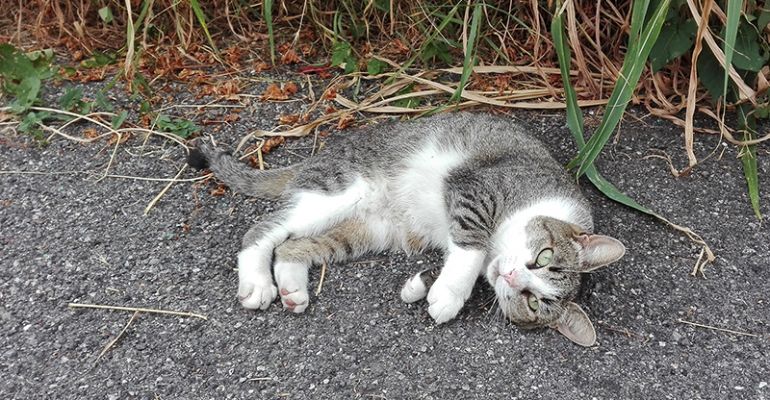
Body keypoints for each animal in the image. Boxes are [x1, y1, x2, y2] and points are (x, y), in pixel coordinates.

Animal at [188, 111, 624, 346]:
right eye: (543, 257)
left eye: (533, 302)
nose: (513, 276)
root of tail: (322, 154)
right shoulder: (474, 190)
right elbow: (472, 246)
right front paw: (450, 293)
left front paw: (426, 287)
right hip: (338, 191)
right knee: (263, 231)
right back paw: (258, 283)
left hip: (365, 232)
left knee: (294, 247)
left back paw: (293, 288)